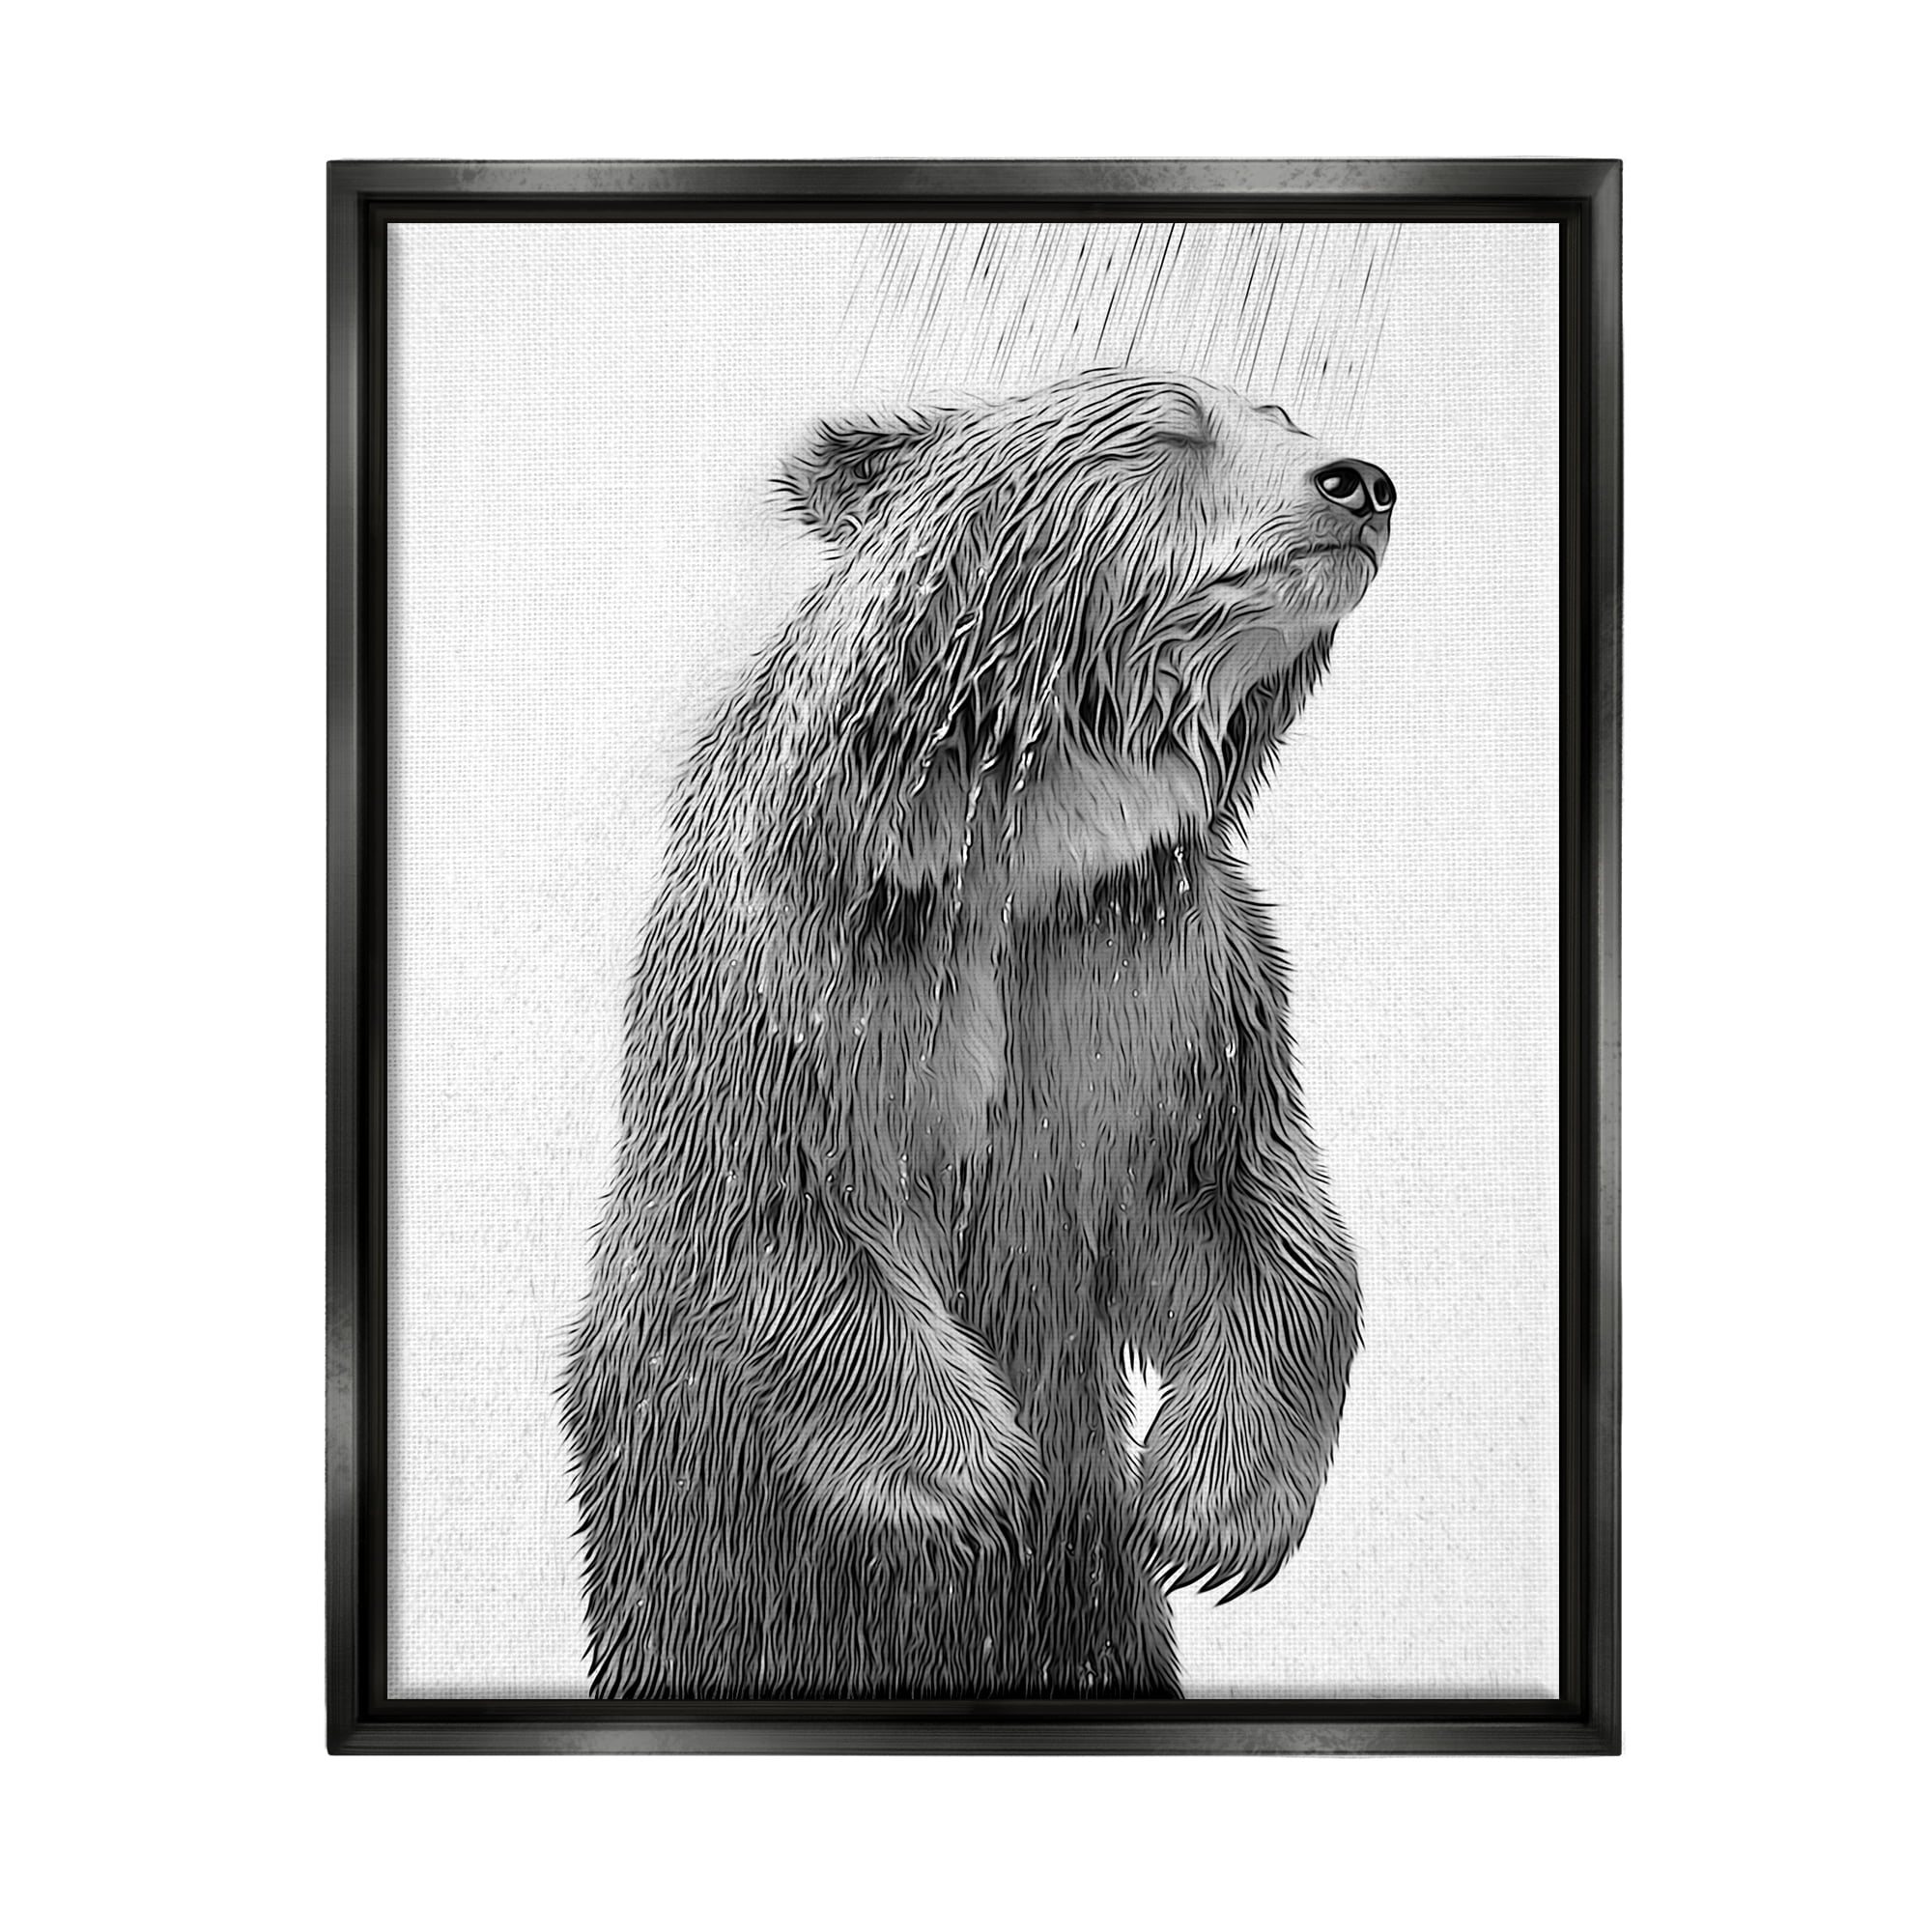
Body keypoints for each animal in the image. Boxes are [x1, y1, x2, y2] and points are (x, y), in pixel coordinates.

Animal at [561, 368, 1396, 1699]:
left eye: (1284, 419)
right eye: (1168, 428)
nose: (1359, 482)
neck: (1029, 838)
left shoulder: (1156, 967)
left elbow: (1240, 1202)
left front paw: (1204, 1514)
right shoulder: (821, 955)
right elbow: (784, 1196)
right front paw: (974, 1487)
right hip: (691, 1550)